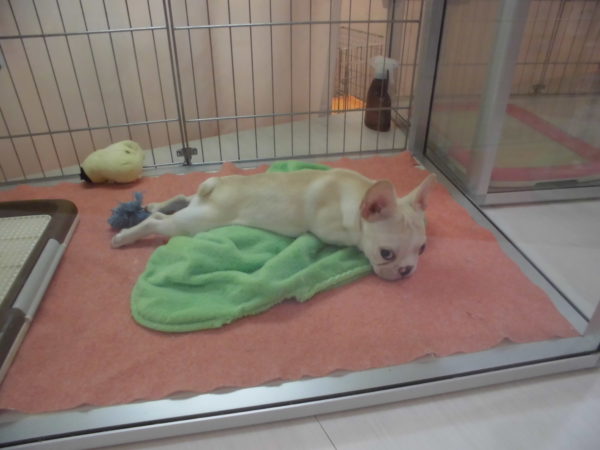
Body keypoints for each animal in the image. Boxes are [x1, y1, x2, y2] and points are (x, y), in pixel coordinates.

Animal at [111, 168, 436, 281]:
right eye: (386, 254)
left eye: (422, 250)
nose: (407, 270)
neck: (356, 197)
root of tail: (216, 185)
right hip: (195, 223)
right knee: (158, 224)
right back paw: (126, 235)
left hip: (194, 206)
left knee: (179, 198)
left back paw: (153, 205)